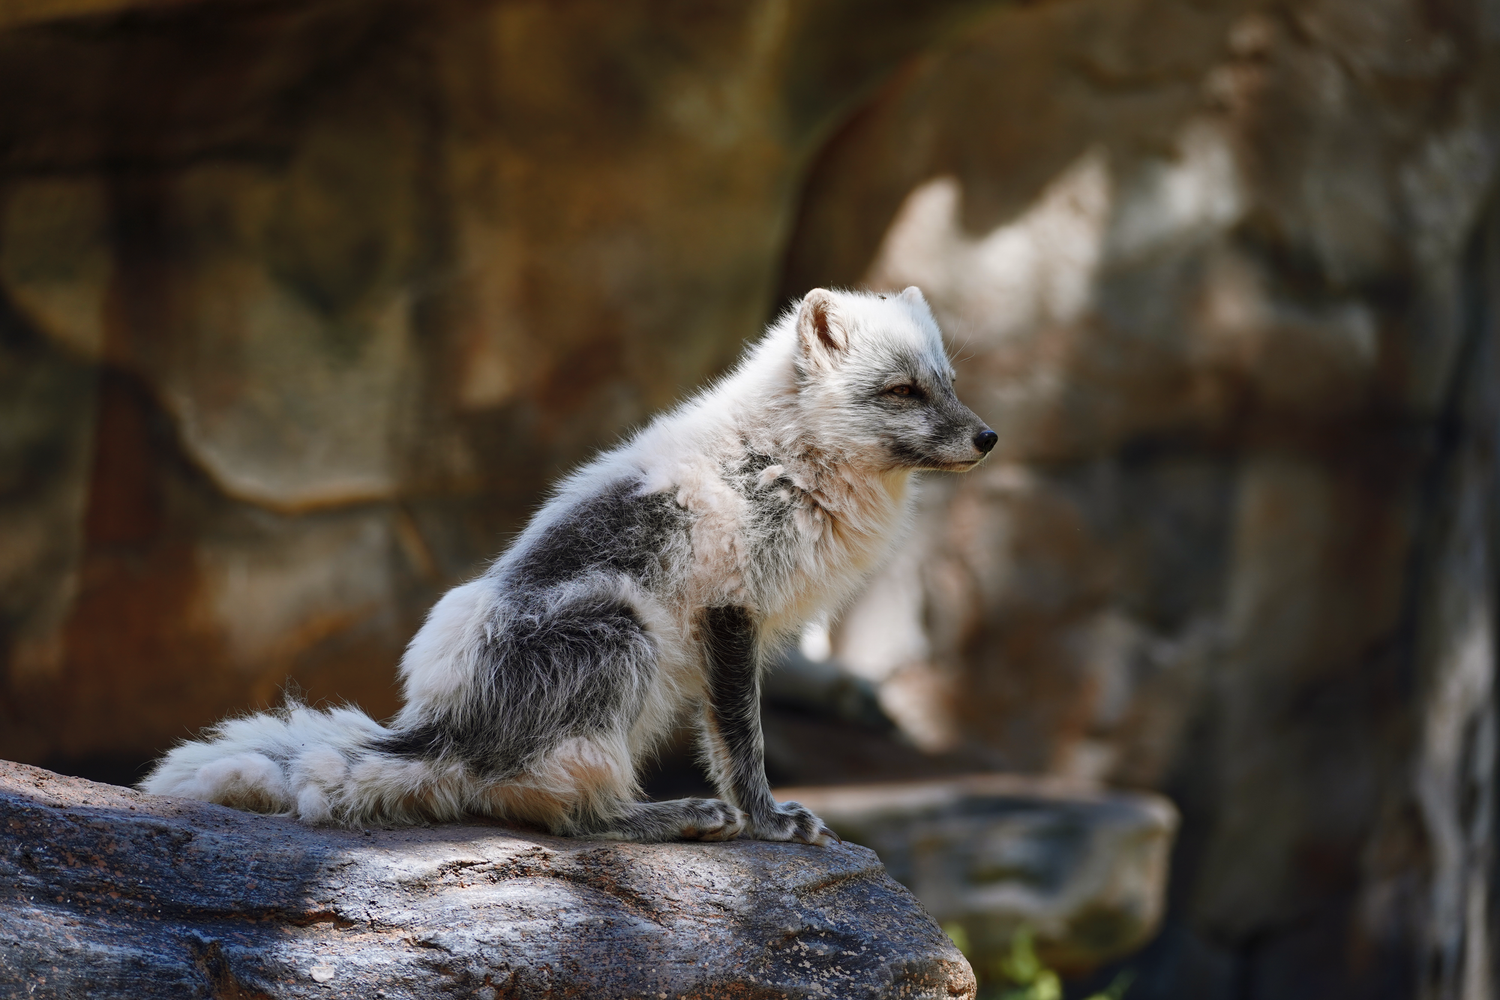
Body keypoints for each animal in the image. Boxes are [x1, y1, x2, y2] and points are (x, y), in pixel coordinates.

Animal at [140, 286, 996, 845]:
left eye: (948, 383)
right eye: (901, 391)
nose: (989, 437)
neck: (782, 457)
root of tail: (435, 728)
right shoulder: (731, 613)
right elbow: (740, 741)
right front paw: (768, 822)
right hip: (623, 633)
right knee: (557, 810)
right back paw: (671, 817)